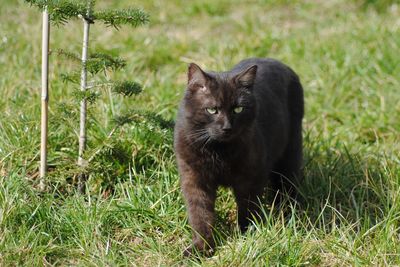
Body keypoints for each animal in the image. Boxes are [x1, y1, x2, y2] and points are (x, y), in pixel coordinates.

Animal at [174, 58, 304, 255]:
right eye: (212, 110)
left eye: (238, 109)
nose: (227, 127)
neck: (217, 151)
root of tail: (279, 63)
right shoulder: (194, 178)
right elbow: (199, 214)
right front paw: (201, 248)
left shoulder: (251, 176)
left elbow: (247, 208)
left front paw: (245, 237)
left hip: (290, 153)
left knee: (287, 187)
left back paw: (288, 215)